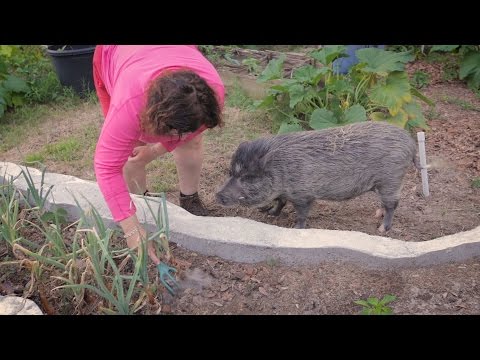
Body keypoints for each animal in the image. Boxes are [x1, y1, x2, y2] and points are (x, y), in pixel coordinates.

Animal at [216, 122, 418, 232]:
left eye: (249, 177)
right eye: (231, 172)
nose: (217, 196)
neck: (280, 168)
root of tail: (411, 143)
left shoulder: (303, 194)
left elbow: (301, 214)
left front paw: (296, 229)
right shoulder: (285, 192)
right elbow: (280, 202)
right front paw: (271, 214)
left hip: (391, 178)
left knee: (393, 204)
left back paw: (382, 228)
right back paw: (377, 214)